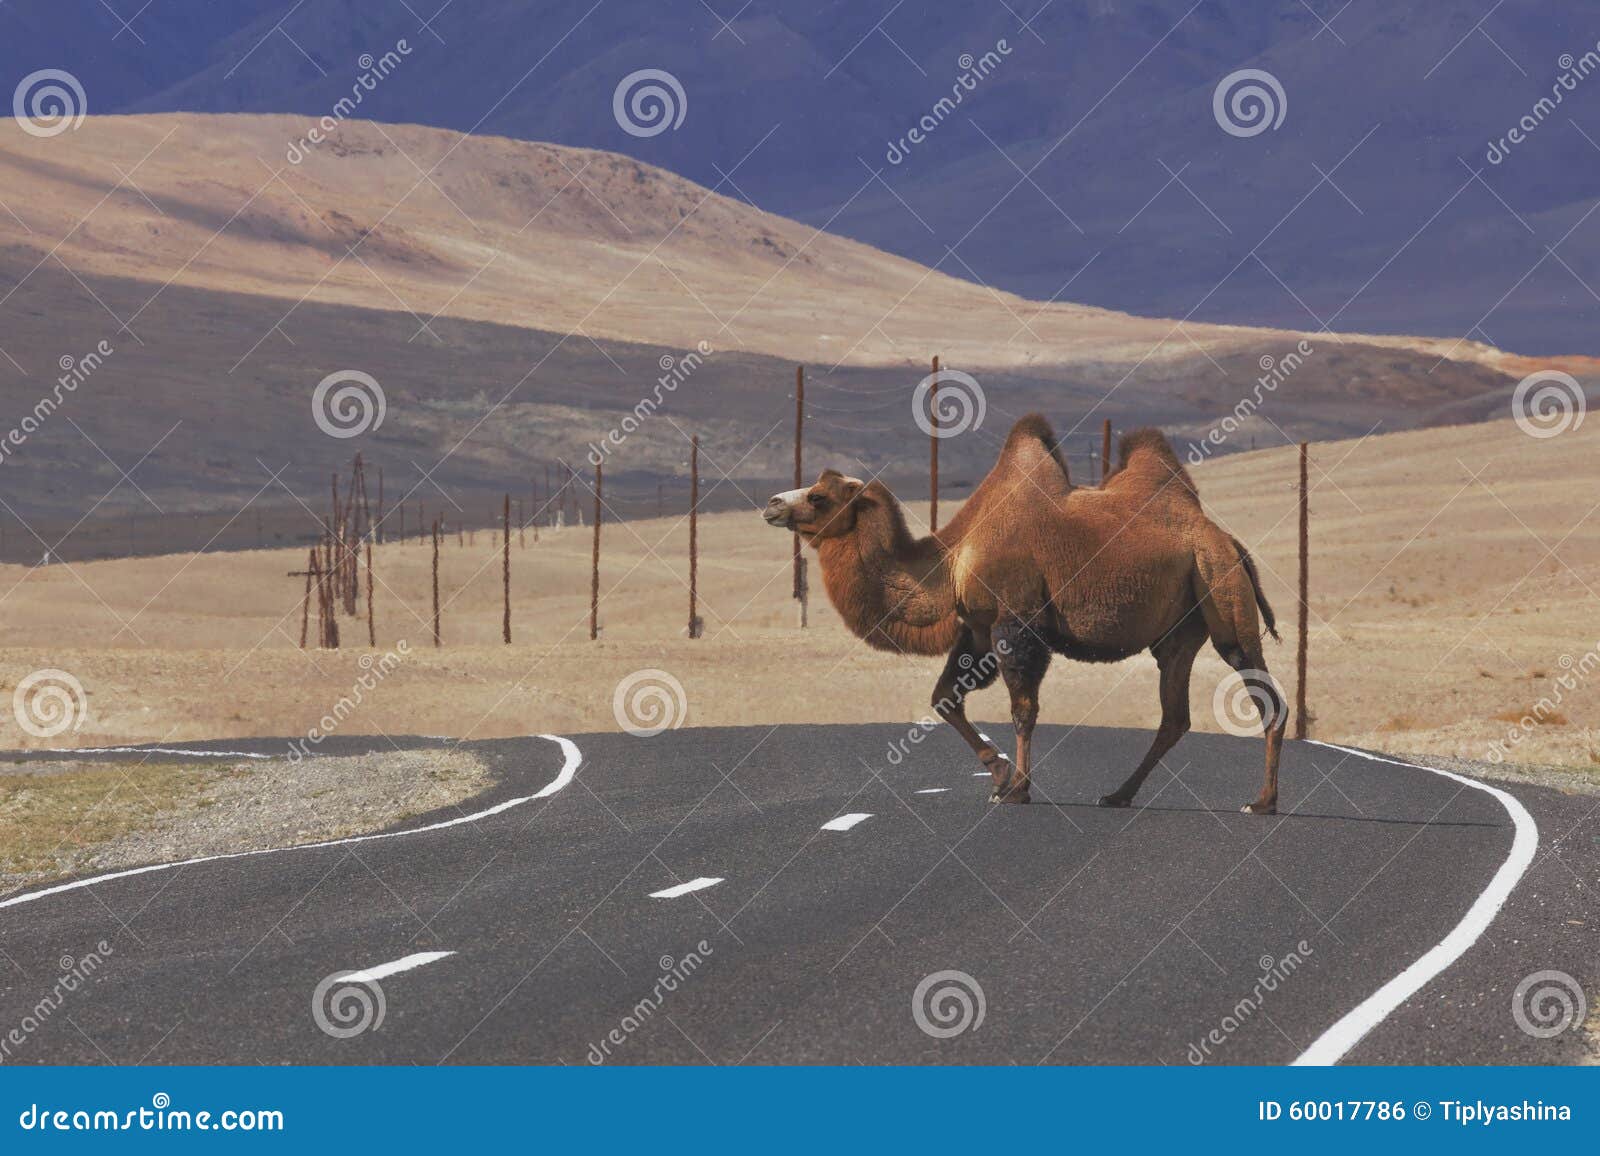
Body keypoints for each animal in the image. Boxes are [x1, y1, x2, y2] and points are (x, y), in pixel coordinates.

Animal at [763, 414, 1285, 812]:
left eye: (819, 496)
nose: (772, 504)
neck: (952, 561)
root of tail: (1227, 540)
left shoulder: (1016, 622)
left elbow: (1023, 710)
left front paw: (1016, 789)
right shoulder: (977, 629)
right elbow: (944, 698)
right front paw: (998, 774)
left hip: (1221, 591)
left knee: (1263, 693)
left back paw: (1261, 802)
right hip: (1180, 629)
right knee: (1175, 716)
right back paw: (1118, 794)